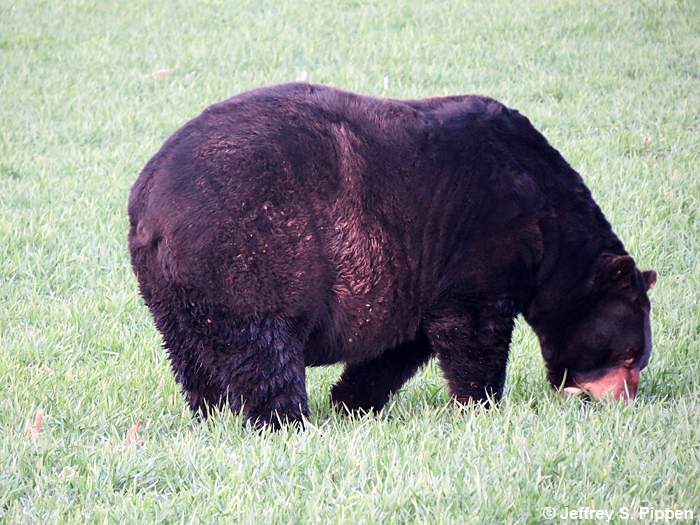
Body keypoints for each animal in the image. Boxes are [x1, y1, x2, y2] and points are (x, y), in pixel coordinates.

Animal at [128, 82, 657, 428]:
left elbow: (403, 343)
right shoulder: (487, 233)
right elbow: (473, 326)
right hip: (250, 247)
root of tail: (149, 202)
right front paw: (480, 403)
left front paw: (352, 401)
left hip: (173, 289)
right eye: (629, 355)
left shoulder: (421, 273)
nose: (626, 405)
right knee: (264, 346)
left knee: (193, 354)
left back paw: (211, 414)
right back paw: (286, 420)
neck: (548, 217)